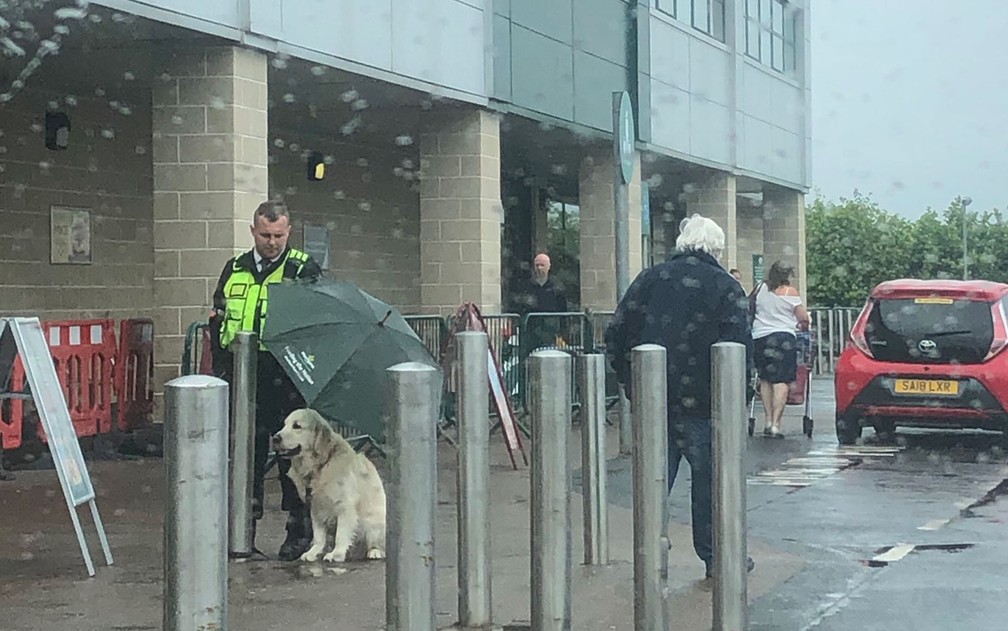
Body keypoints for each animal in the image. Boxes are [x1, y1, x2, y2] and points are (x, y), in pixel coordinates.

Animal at [272, 407, 385, 560]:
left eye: (297, 426)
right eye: (284, 425)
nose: (275, 438)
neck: (320, 465)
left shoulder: (344, 505)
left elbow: (341, 534)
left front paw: (337, 553)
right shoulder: (315, 506)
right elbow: (318, 535)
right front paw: (313, 552)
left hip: (373, 522)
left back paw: (375, 551)